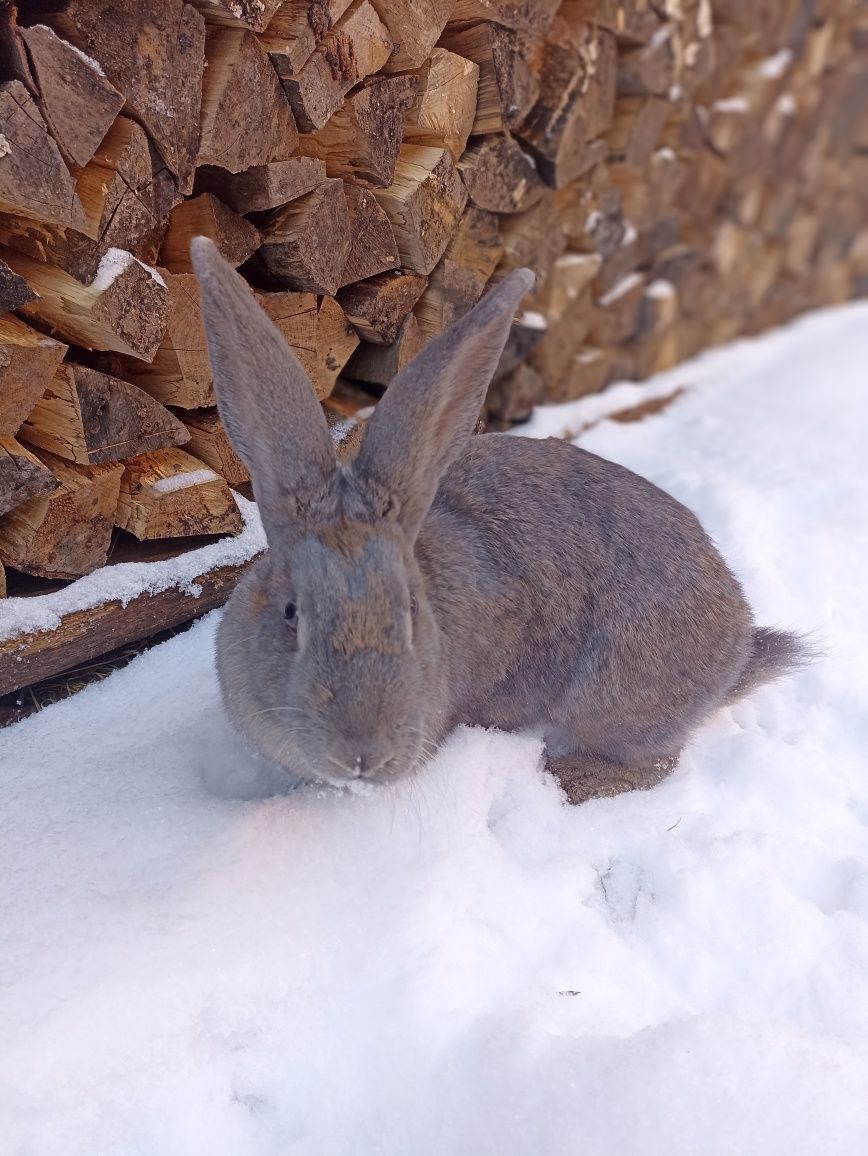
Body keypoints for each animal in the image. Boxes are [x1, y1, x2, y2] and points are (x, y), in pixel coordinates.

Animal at [193, 236, 813, 804]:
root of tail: (738, 647)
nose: (363, 755)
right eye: (291, 613)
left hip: (615, 693)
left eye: (411, 610)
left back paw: (570, 779)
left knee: (653, 761)